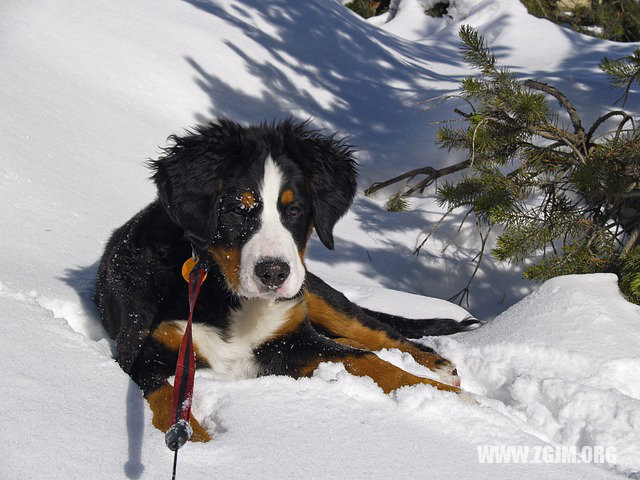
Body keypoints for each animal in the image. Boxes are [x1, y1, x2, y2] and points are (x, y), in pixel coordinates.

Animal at [94, 118, 476, 440]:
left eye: (294, 210)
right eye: (236, 209)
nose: (274, 273)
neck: (221, 291)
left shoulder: (290, 339)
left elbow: (366, 359)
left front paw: (451, 399)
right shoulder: (141, 350)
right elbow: (169, 401)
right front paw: (202, 447)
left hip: (314, 294)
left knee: (375, 332)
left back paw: (438, 366)